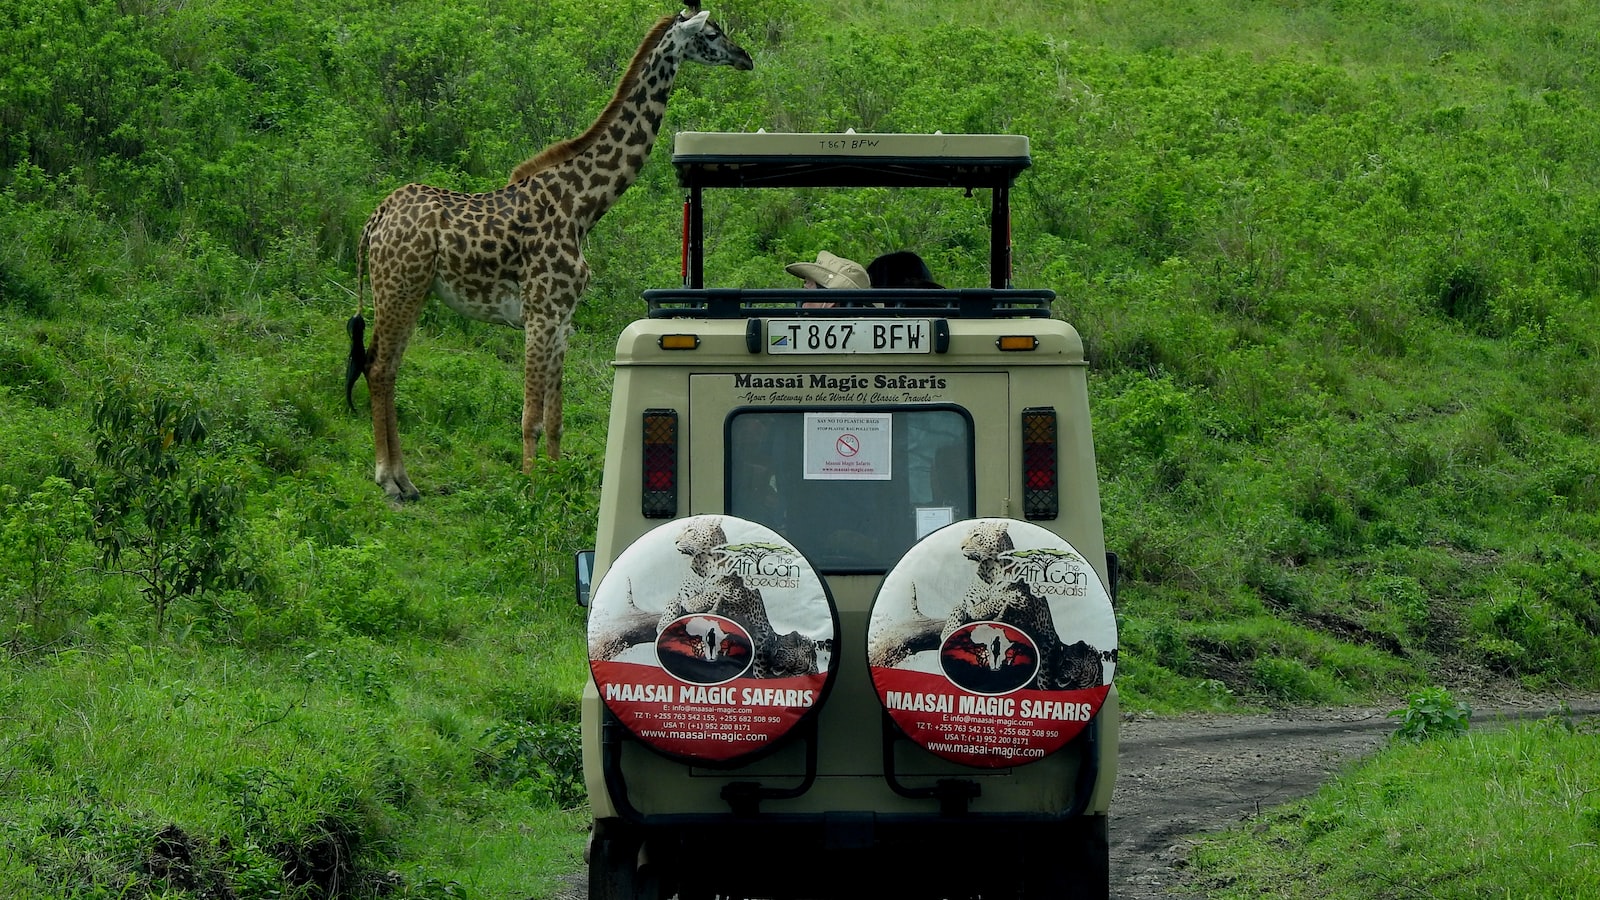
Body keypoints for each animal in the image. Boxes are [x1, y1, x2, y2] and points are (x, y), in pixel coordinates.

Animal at [342, 3, 748, 499]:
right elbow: (530, 417)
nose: (745, 58)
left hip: (408, 291)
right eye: (711, 33)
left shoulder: (562, 319)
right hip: (400, 288)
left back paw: (404, 479)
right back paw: (391, 481)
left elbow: (555, 418)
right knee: (380, 368)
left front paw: (556, 484)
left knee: (384, 366)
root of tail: (374, 221)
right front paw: (529, 487)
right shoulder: (539, 313)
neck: (583, 205)